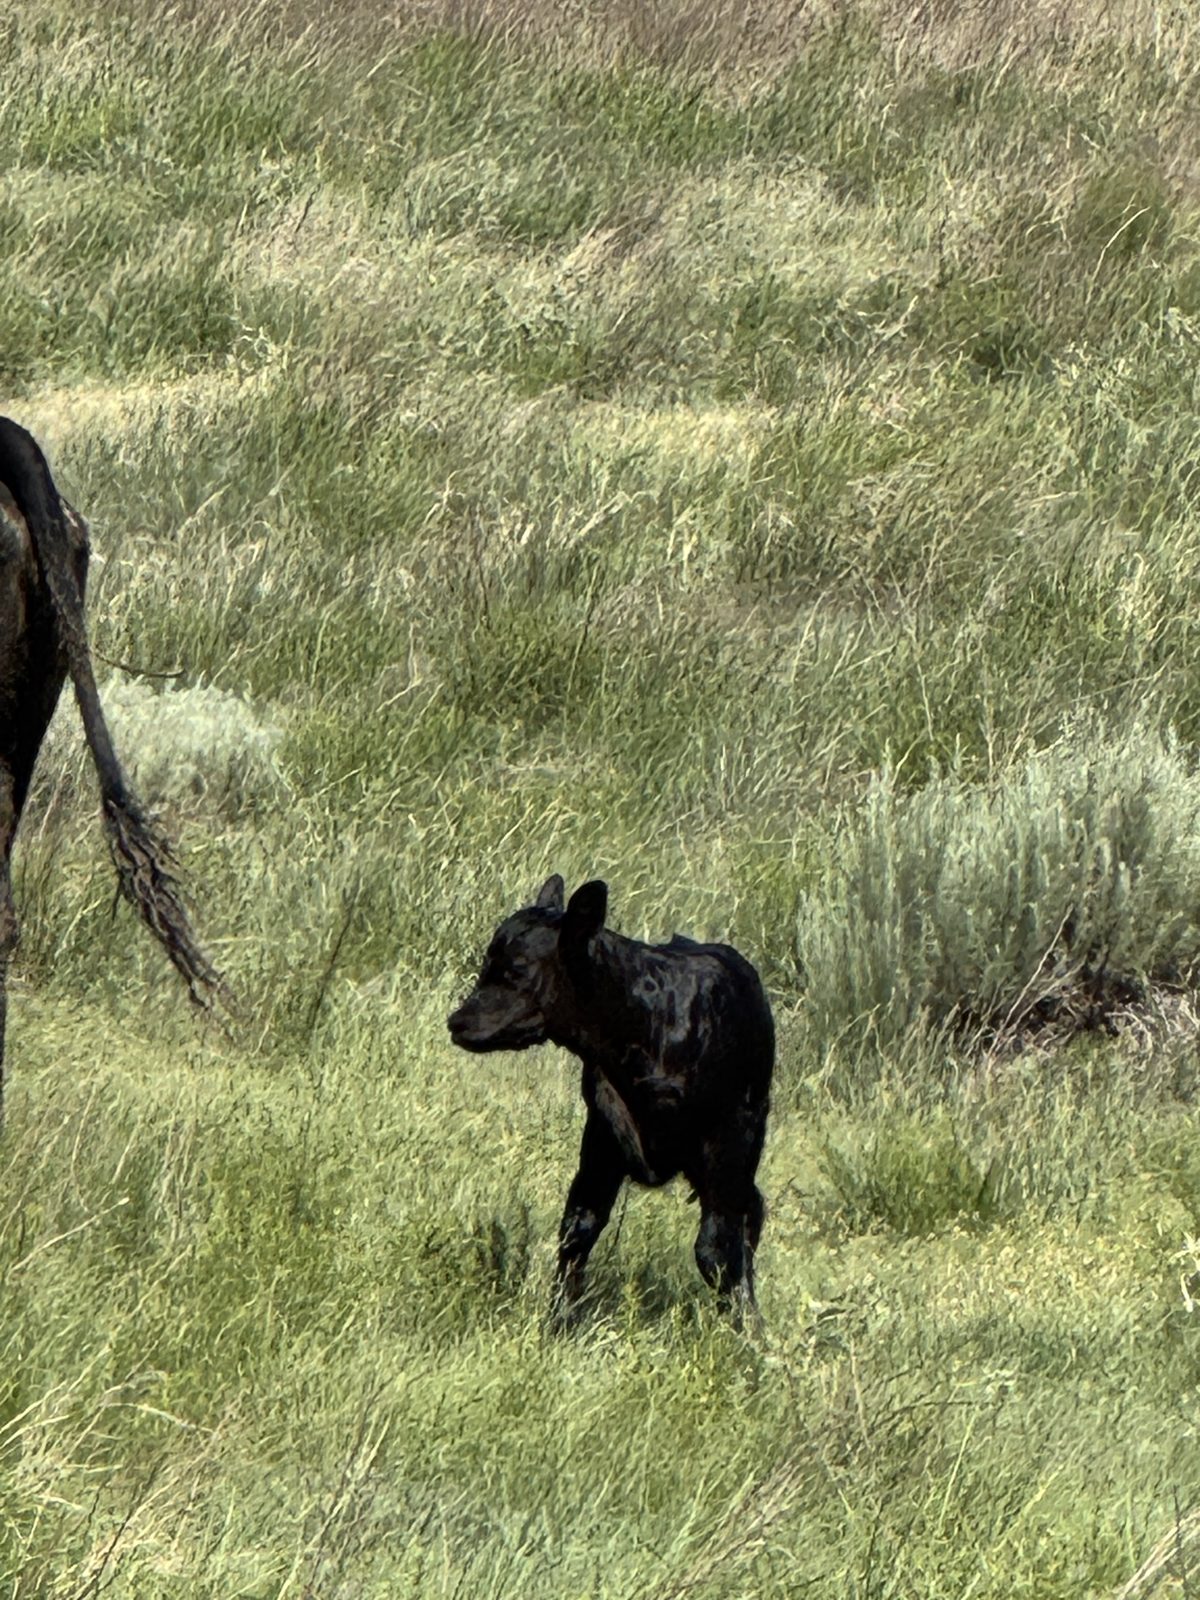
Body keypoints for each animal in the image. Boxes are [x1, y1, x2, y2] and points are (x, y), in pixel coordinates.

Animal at [448, 875, 774, 1322]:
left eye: (517, 970)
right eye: (487, 962)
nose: (457, 1021)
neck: (647, 1027)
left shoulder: (726, 1136)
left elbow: (716, 1248)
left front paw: (744, 1328)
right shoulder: (603, 1132)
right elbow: (578, 1227)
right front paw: (560, 1322)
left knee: (746, 1215)